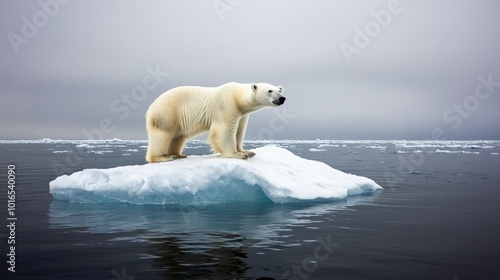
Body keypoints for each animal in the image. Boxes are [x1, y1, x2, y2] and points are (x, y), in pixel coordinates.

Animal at [145, 82, 286, 163]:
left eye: (279, 90)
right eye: (270, 91)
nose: (282, 98)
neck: (237, 97)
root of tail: (151, 106)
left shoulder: (242, 115)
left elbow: (239, 131)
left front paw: (247, 151)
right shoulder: (227, 105)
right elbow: (225, 130)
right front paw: (236, 155)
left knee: (177, 136)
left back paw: (178, 155)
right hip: (167, 113)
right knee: (163, 133)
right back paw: (163, 157)